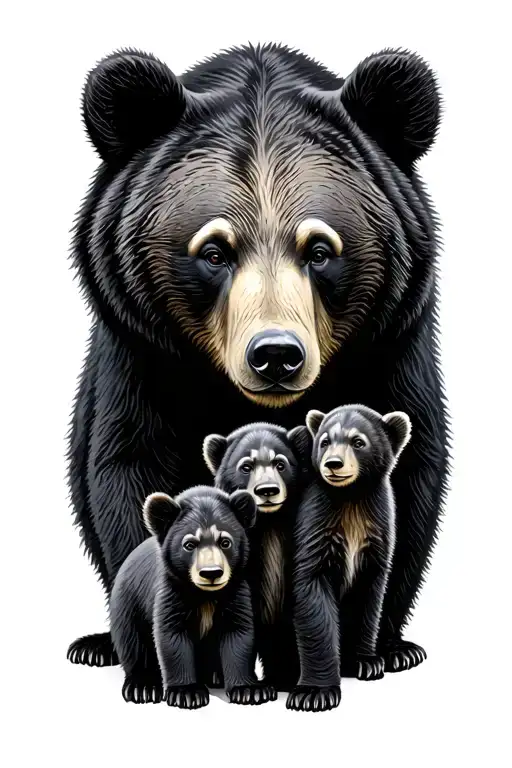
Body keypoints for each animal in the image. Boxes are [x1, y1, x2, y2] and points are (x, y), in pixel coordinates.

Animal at [110, 485, 276, 708]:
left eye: (225, 542)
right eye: (189, 544)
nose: (211, 573)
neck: (205, 596)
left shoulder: (236, 592)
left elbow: (238, 634)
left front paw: (250, 690)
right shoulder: (170, 591)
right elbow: (172, 636)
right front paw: (187, 692)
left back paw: (215, 676)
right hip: (129, 601)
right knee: (133, 642)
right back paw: (143, 686)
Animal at [286, 405, 411, 712]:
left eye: (358, 441)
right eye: (325, 441)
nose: (333, 463)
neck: (351, 499)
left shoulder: (376, 529)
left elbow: (369, 595)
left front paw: (365, 662)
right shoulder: (316, 525)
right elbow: (312, 591)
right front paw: (314, 692)